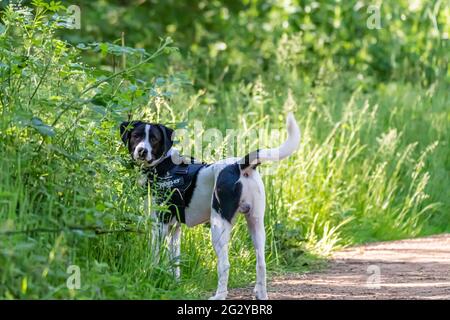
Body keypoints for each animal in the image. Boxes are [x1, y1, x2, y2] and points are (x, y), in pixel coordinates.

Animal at [121, 113, 300, 300]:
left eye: (154, 139)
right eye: (136, 136)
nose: (142, 151)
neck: (165, 164)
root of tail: (238, 166)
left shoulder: (159, 225)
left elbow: (155, 255)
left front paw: (150, 274)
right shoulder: (174, 228)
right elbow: (174, 261)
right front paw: (174, 283)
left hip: (218, 226)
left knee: (225, 265)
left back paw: (219, 295)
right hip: (256, 223)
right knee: (261, 263)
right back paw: (261, 294)